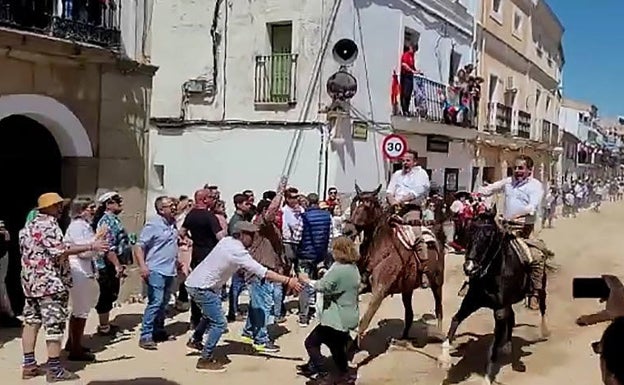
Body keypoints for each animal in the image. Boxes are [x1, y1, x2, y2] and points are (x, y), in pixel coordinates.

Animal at [344, 184, 446, 344]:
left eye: (367, 206)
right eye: (353, 204)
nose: (348, 231)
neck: (380, 248)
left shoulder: (379, 291)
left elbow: (364, 323)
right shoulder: (362, 286)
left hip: (437, 283)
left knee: (439, 308)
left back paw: (439, 335)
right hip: (407, 289)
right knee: (409, 314)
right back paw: (402, 338)